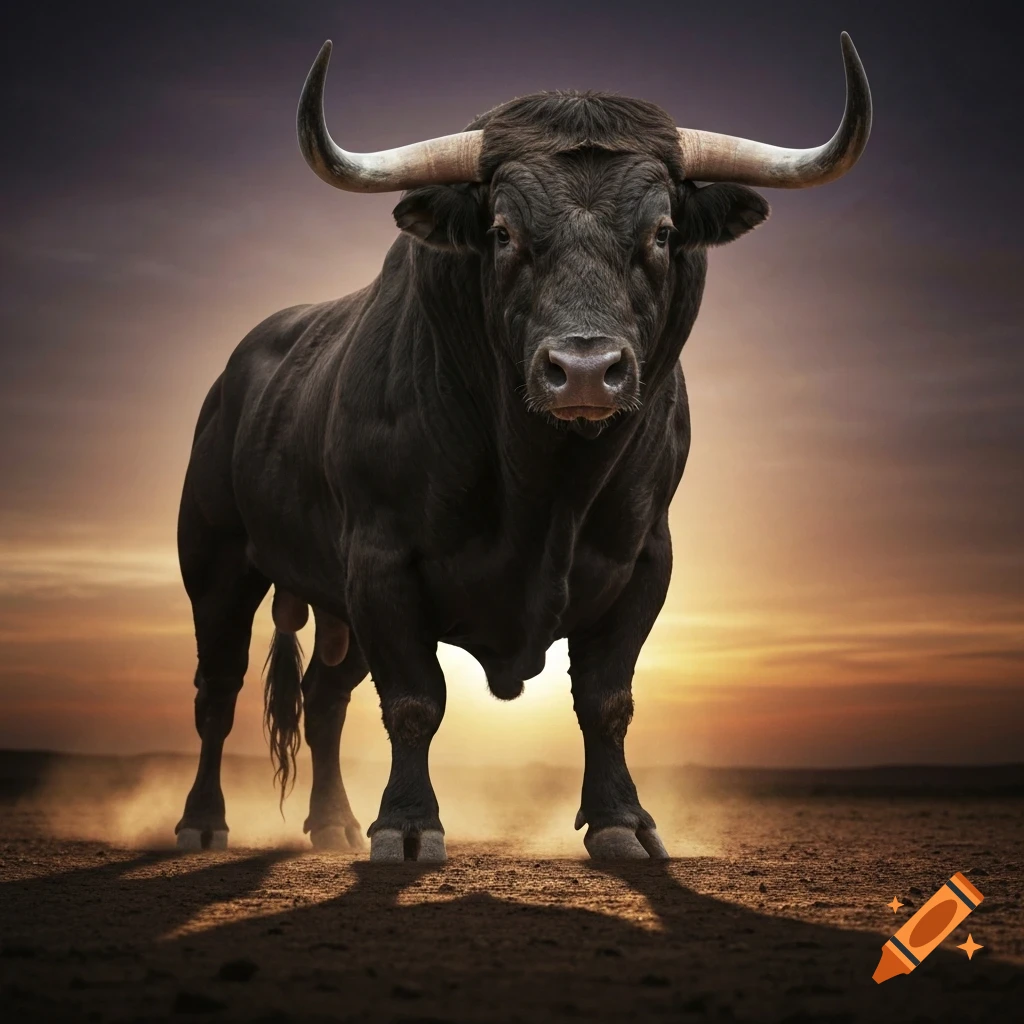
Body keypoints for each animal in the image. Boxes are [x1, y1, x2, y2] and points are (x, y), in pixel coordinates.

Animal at [174, 34, 871, 861]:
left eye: (663, 232)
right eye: (503, 232)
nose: (585, 369)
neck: (545, 486)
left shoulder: (644, 561)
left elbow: (607, 700)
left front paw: (622, 822)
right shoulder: (381, 561)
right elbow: (415, 700)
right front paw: (408, 826)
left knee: (323, 698)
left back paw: (334, 824)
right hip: (217, 561)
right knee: (218, 692)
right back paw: (203, 821)